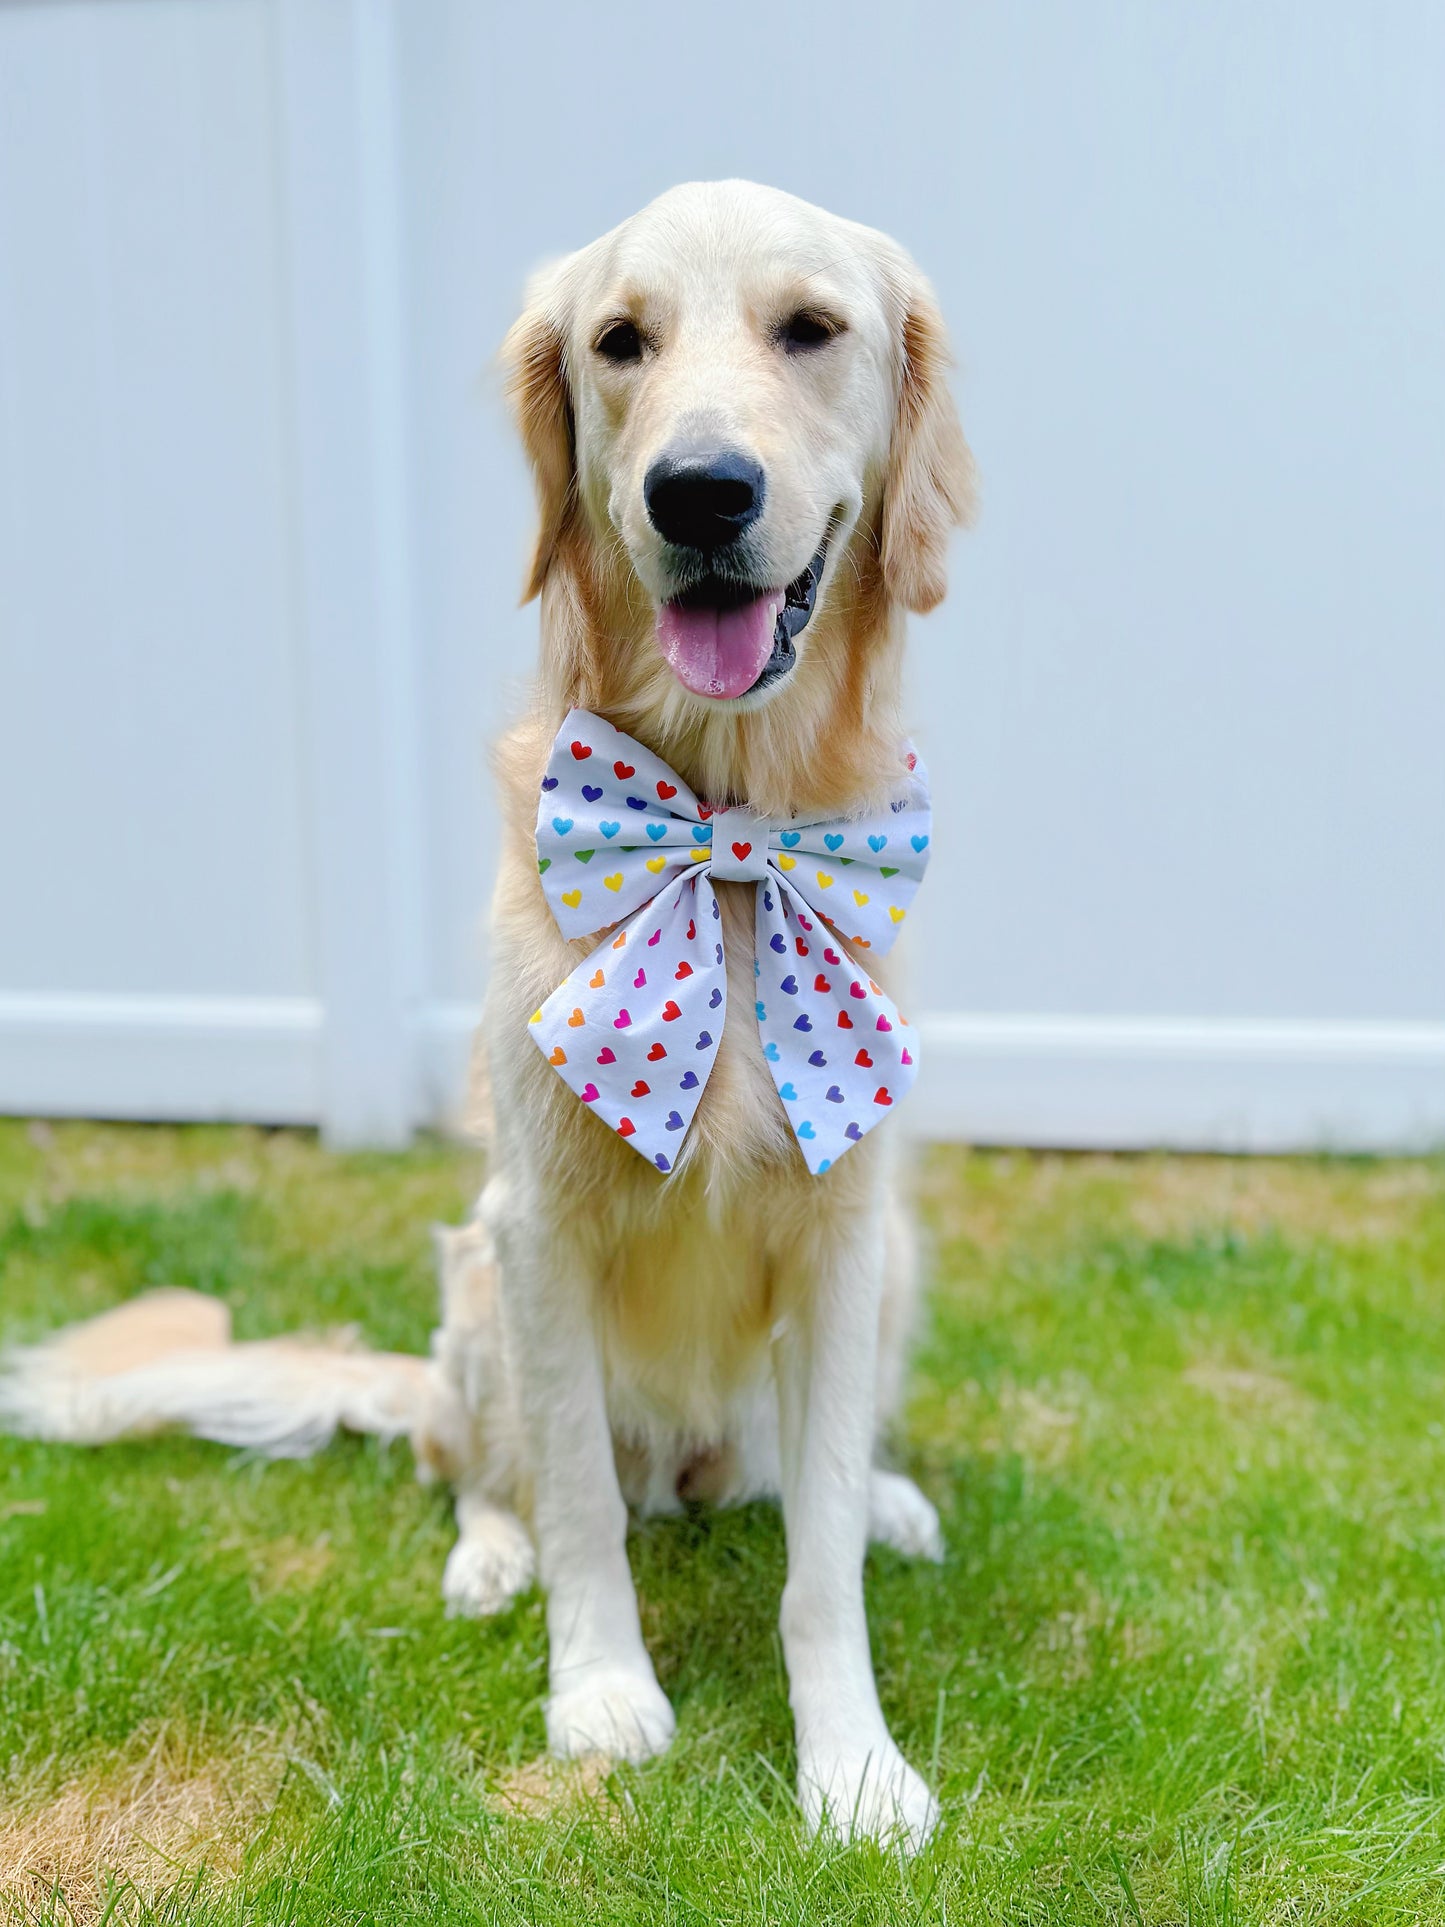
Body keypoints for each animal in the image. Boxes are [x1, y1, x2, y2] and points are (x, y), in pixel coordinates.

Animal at [5, 184, 978, 1849]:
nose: (698, 492)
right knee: (474, 1457)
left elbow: (820, 1559)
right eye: (620, 342)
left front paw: (853, 1762)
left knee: (800, 1477)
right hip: (468, 1286)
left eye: (810, 328)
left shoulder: (846, 1226)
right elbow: (577, 1489)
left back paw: (883, 1497)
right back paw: (488, 1550)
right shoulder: (540, 1230)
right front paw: (599, 1691)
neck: (724, 835)